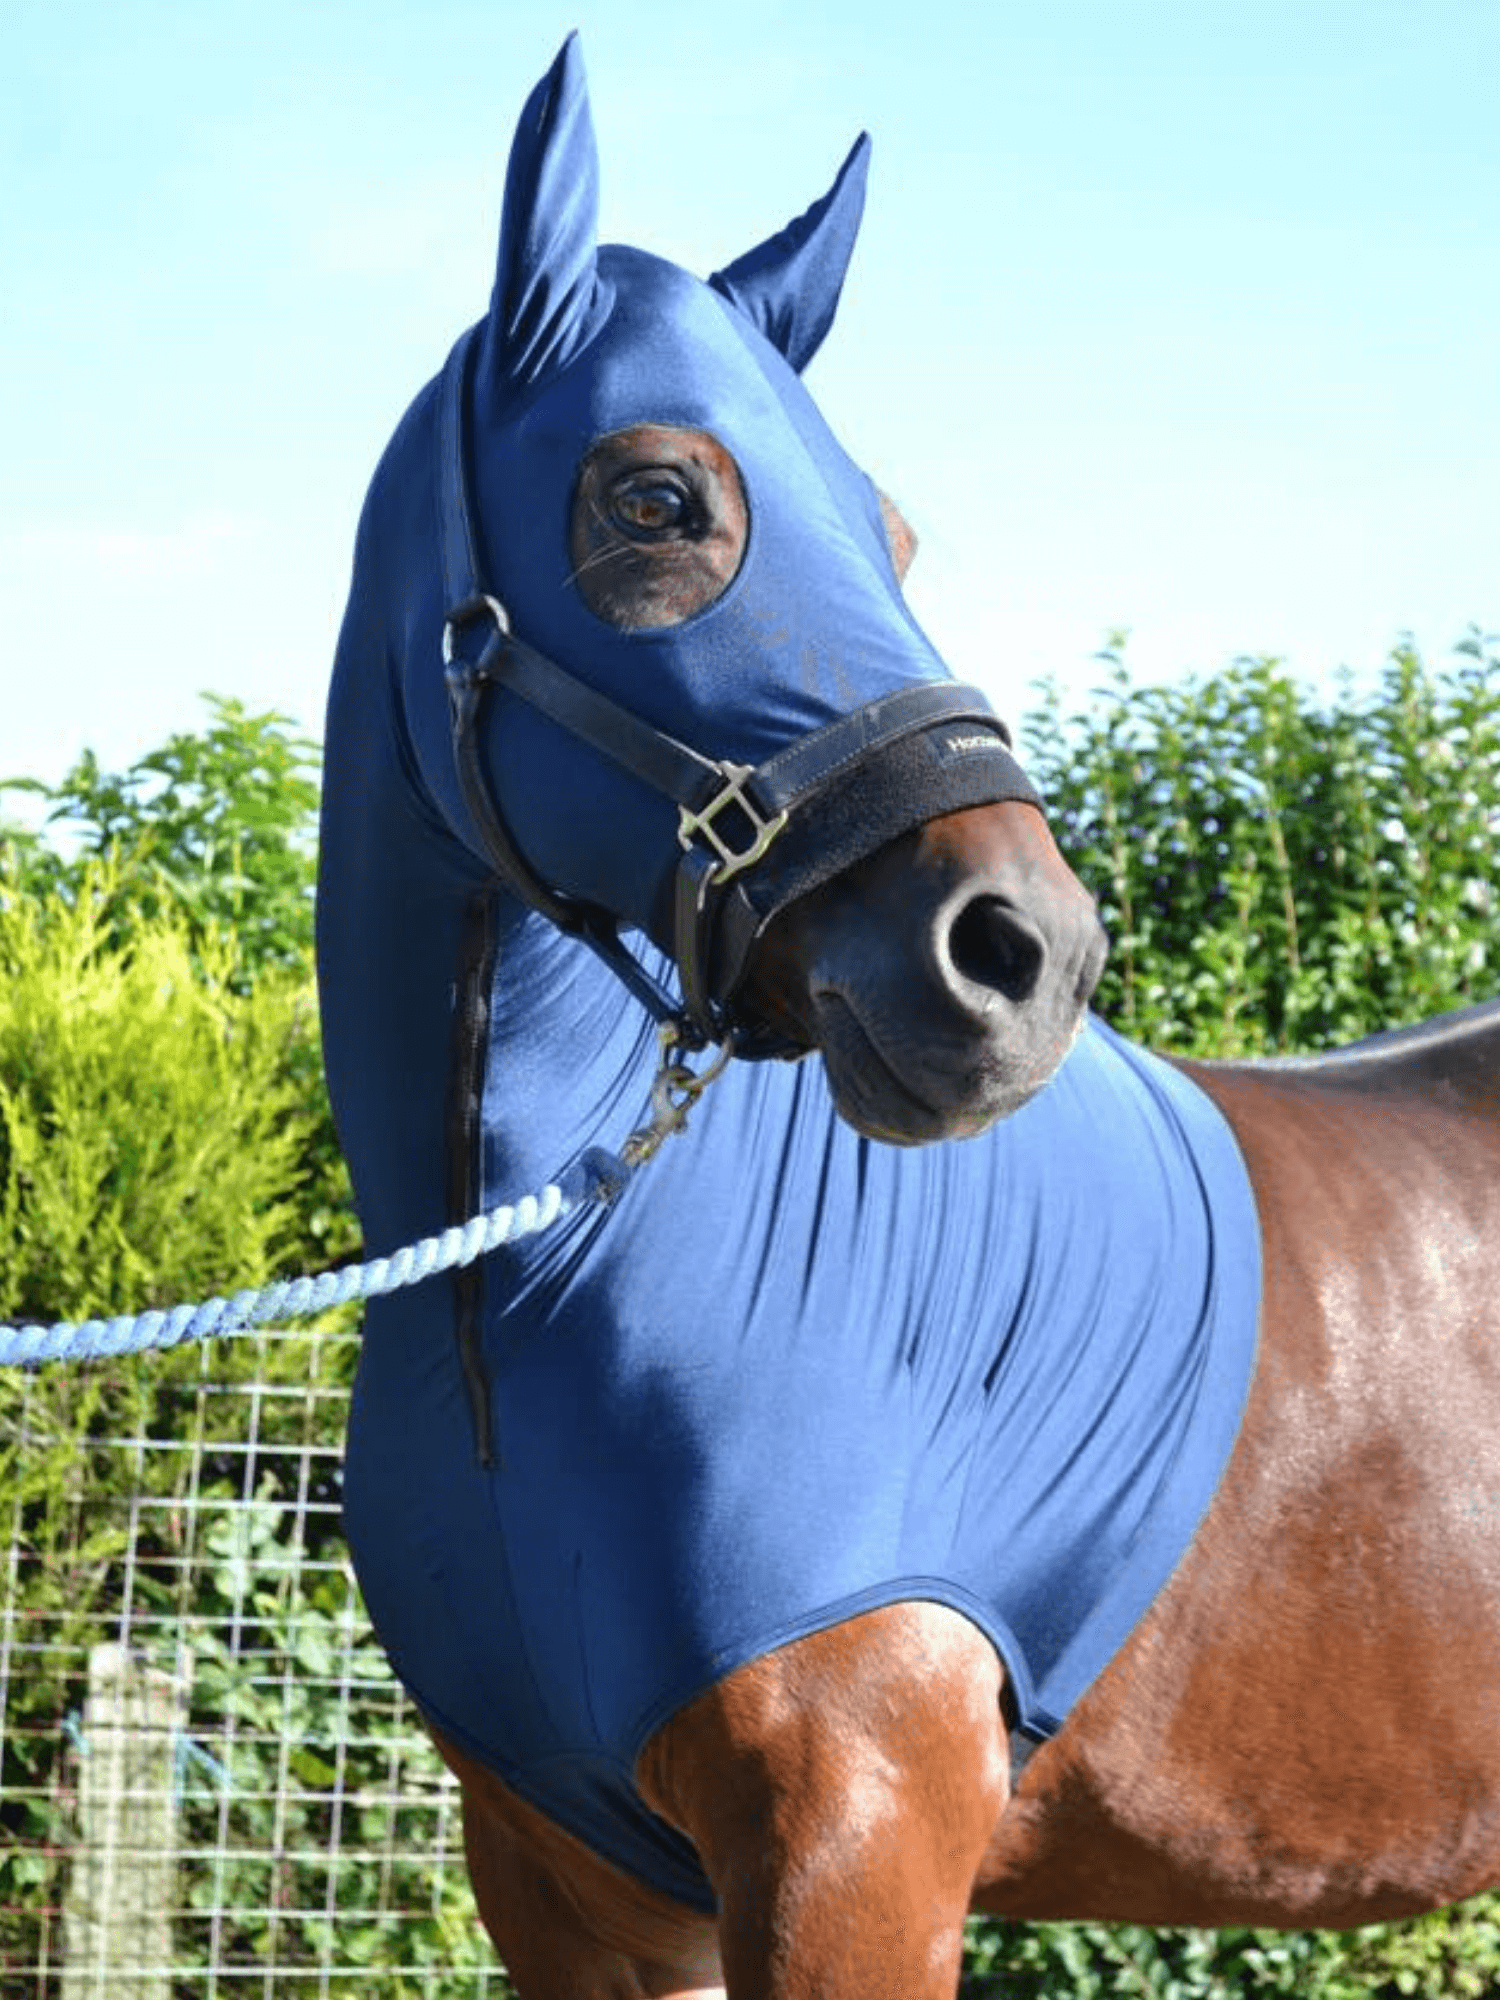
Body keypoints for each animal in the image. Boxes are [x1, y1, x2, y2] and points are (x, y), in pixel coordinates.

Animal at [314, 31, 1500, 2000]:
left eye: (896, 531)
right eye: (655, 500)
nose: (1026, 955)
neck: (530, 1298)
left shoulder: (855, 1856)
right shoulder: (575, 1887)